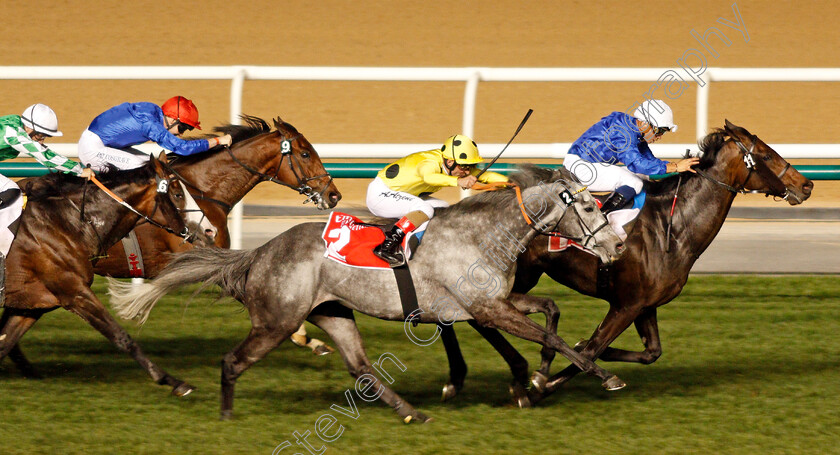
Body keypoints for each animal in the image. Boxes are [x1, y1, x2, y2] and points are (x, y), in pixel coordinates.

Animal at [0, 155, 199, 398]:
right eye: (178, 194)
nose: (196, 232)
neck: (67, 223)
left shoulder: (31, 304)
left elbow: (4, 343)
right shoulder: (75, 292)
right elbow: (121, 337)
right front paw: (172, 381)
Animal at [110, 168, 624, 424]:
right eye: (586, 205)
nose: (617, 246)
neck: (483, 233)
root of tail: (258, 253)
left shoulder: (491, 304)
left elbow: (551, 314)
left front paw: (538, 378)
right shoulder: (486, 309)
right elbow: (550, 335)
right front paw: (601, 376)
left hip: (333, 313)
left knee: (360, 368)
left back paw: (412, 413)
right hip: (277, 321)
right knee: (232, 360)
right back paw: (225, 416)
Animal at [434, 119, 812, 404]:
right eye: (766, 154)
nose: (806, 184)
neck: (673, 227)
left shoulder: (646, 305)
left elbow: (648, 352)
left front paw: (567, 356)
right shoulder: (625, 304)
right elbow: (593, 348)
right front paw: (544, 383)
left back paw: (465, 379)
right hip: (511, 277)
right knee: (475, 317)